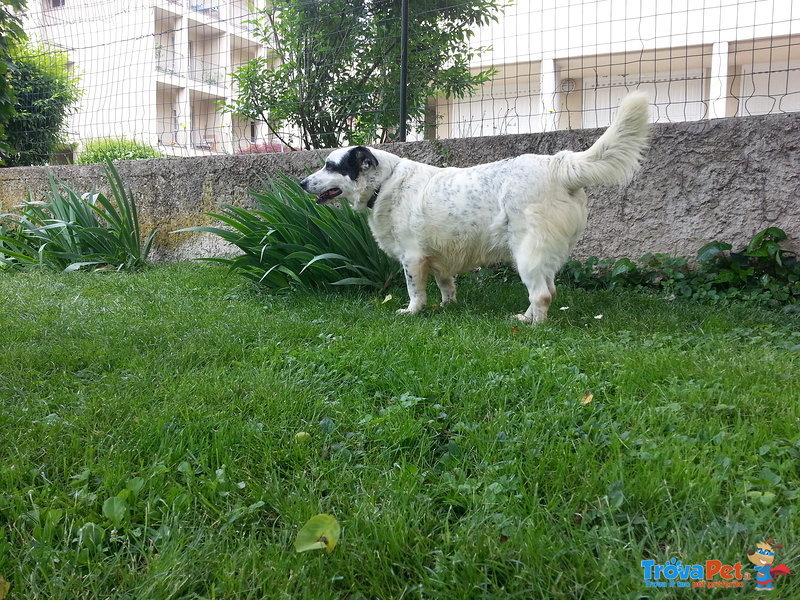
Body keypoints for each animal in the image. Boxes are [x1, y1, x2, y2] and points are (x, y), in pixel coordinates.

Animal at [300, 92, 648, 324]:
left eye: (331, 166)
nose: (302, 183)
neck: (385, 183)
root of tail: (558, 164)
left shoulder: (413, 258)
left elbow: (415, 292)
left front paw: (411, 312)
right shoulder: (437, 259)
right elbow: (446, 285)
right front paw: (447, 306)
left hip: (527, 252)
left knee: (542, 293)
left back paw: (531, 325)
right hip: (543, 253)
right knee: (549, 289)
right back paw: (527, 318)